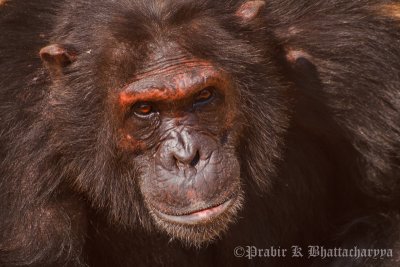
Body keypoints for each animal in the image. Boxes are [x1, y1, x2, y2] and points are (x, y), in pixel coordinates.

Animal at [0, 0, 400, 266]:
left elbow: (385, 216)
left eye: (203, 96)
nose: (186, 156)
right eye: (144, 109)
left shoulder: (356, 63)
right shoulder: (18, 146)